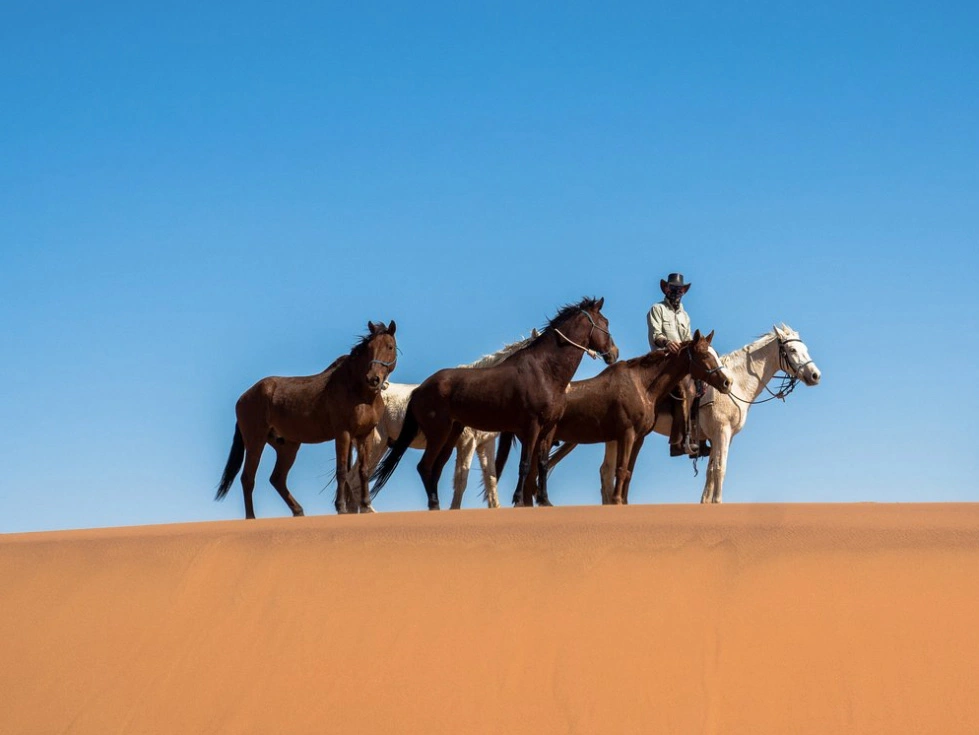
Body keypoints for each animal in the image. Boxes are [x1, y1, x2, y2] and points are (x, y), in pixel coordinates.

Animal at [215, 321, 398, 518]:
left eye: (390, 346)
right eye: (369, 348)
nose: (373, 379)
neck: (359, 393)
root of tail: (243, 397)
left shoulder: (365, 434)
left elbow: (363, 470)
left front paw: (365, 505)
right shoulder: (343, 434)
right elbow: (342, 471)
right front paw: (341, 507)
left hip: (287, 446)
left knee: (277, 479)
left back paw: (298, 511)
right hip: (256, 441)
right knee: (248, 478)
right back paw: (252, 518)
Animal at [344, 330, 539, 511]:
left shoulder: (485, 444)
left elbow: (490, 479)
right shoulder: (467, 443)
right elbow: (461, 479)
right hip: (377, 445)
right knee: (354, 481)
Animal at [370, 297, 618, 510]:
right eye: (605, 323)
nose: (614, 353)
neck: (544, 371)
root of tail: (420, 389)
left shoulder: (547, 430)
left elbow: (541, 465)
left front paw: (545, 501)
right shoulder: (530, 428)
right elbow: (524, 465)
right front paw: (518, 499)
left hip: (450, 435)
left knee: (435, 469)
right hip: (434, 435)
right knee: (425, 467)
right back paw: (433, 505)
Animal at [496, 330, 734, 505]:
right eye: (705, 355)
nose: (727, 382)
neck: (642, 385)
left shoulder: (638, 439)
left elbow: (627, 472)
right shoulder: (626, 435)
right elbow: (620, 470)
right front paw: (617, 500)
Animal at [550, 324, 821, 504]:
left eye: (805, 348)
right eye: (792, 350)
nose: (815, 375)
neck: (736, 385)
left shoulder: (719, 437)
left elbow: (711, 471)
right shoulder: (721, 432)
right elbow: (720, 469)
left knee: (606, 473)